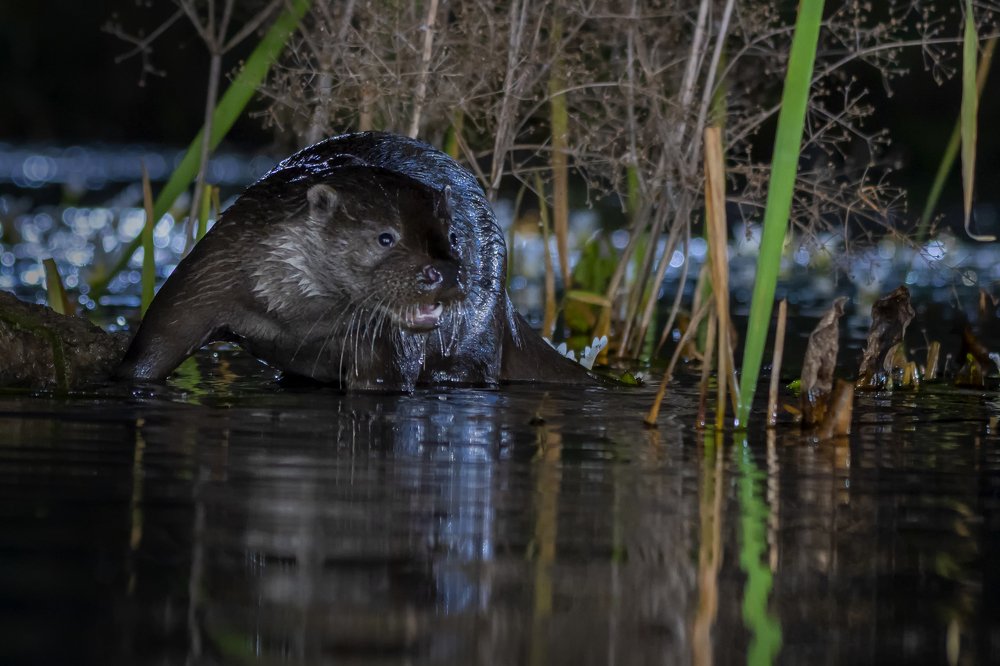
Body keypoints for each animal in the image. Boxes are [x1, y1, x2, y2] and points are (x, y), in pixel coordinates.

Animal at [118, 131, 594, 389]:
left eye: (453, 235)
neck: (292, 315)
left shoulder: (384, 344)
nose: (442, 272)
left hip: (475, 331)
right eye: (385, 237)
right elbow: (157, 341)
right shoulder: (213, 268)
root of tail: (506, 308)